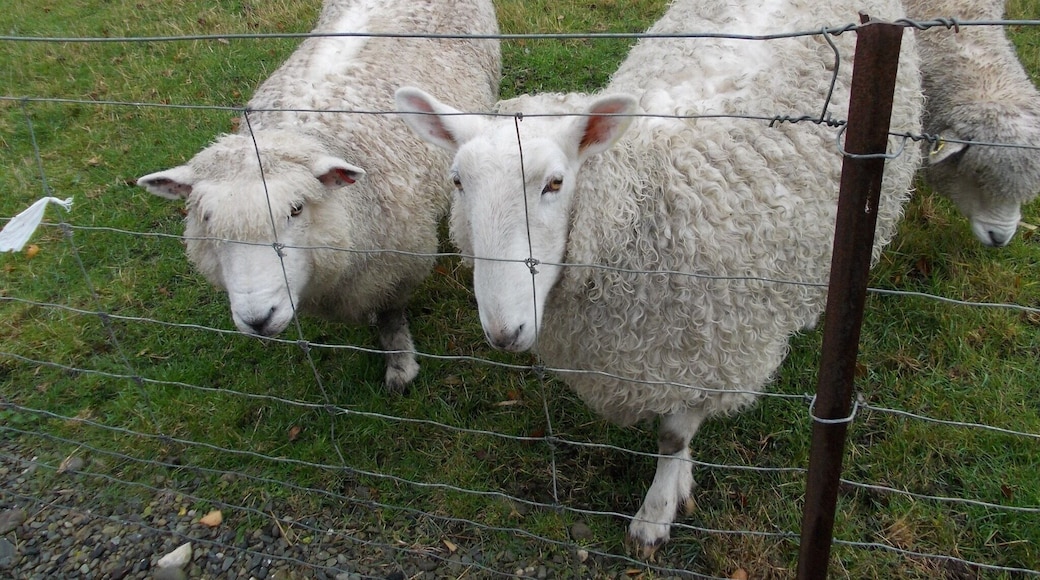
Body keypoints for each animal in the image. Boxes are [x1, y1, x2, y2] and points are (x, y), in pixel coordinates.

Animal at [137, 0, 501, 392]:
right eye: (206, 218)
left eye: (296, 209)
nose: (258, 318)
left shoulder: (399, 267)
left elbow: (390, 317)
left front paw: (400, 367)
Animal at [396, 0, 922, 553]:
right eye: (457, 181)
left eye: (555, 183)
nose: (503, 332)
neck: (643, 206)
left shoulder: (708, 353)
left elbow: (673, 438)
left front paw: (657, 510)